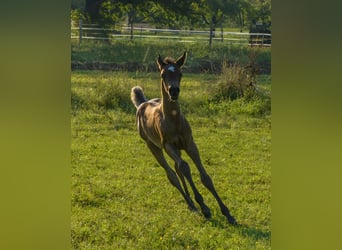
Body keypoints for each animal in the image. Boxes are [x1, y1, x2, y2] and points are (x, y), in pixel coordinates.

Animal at [130, 51, 236, 225]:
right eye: (163, 74)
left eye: (180, 73)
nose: (174, 91)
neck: (173, 120)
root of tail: (142, 104)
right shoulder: (169, 146)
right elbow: (185, 167)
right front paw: (205, 207)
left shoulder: (189, 143)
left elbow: (204, 176)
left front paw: (227, 213)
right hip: (153, 146)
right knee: (172, 174)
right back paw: (192, 204)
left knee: (177, 168)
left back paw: (192, 204)